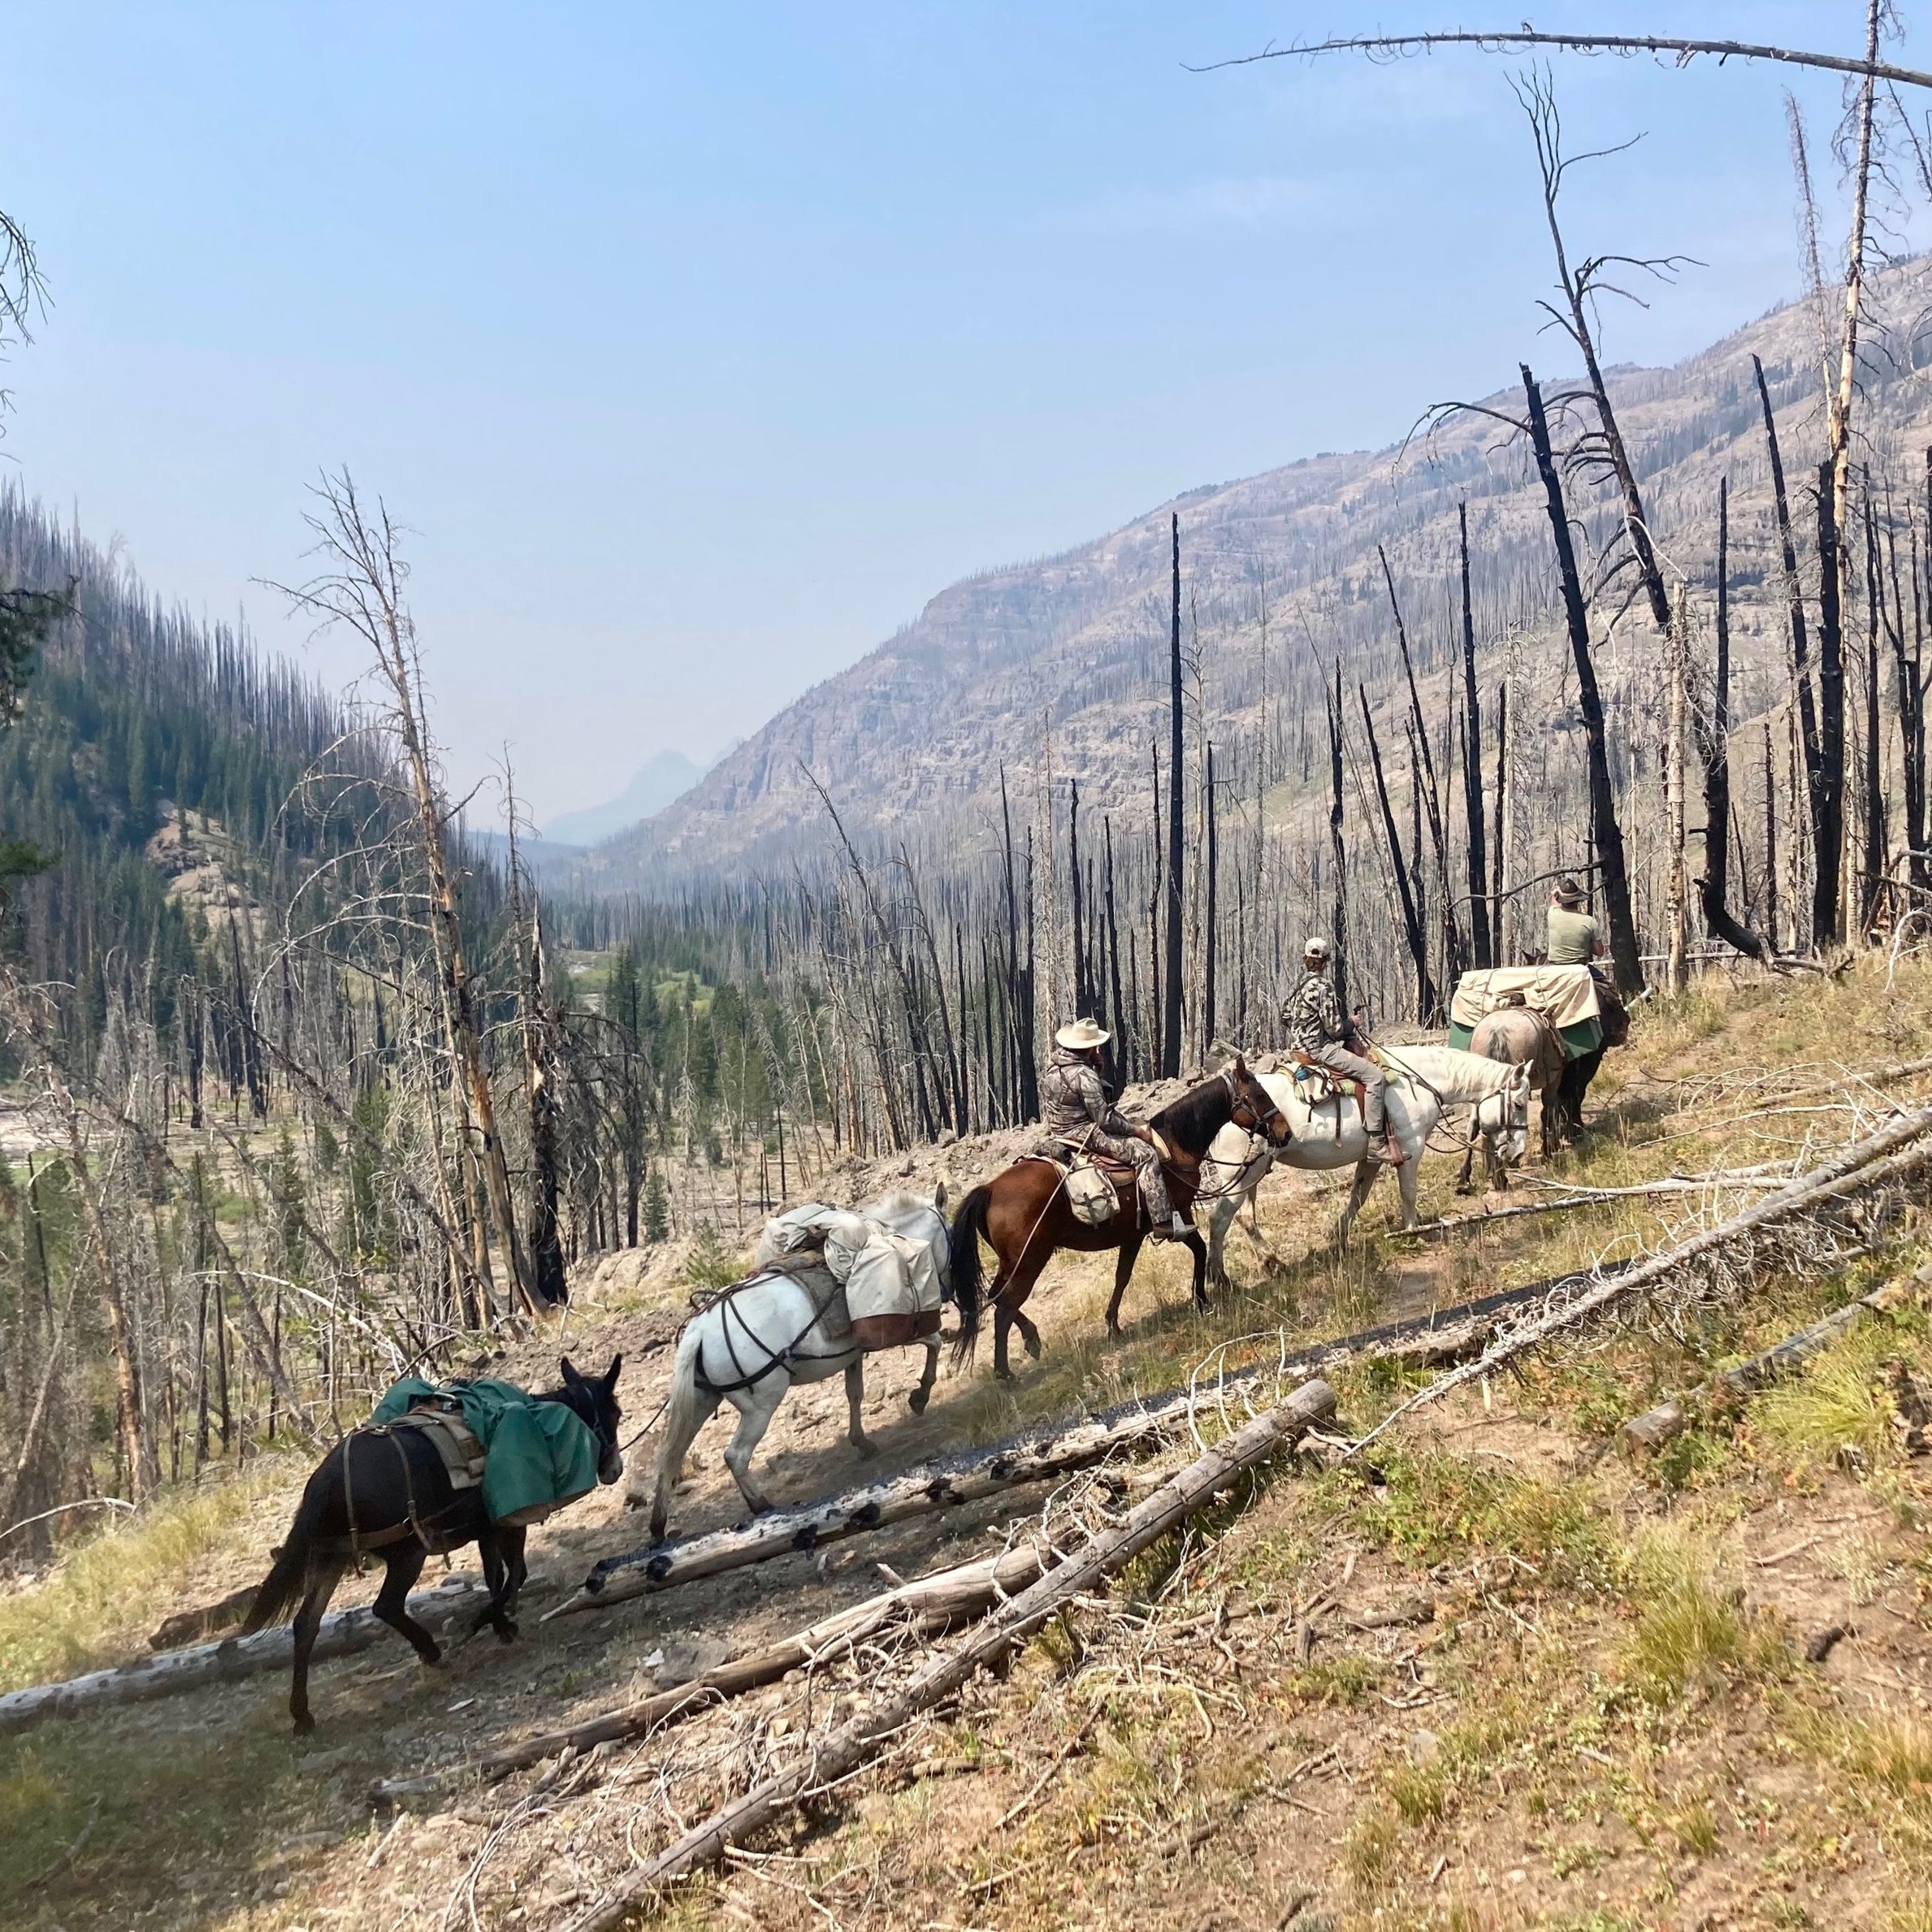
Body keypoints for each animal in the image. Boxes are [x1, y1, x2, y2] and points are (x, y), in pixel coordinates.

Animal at [641, 1189, 958, 1537]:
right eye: (950, 1234)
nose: (950, 1288)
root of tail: (698, 1330)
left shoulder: (853, 1354)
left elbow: (855, 1393)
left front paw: (861, 1441)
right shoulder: (894, 1332)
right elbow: (935, 1342)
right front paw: (920, 1397)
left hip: (700, 1401)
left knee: (669, 1456)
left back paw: (658, 1525)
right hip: (760, 1406)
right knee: (735, 1455)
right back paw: (761, 1505)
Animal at [947, 1059, 1290, 1375]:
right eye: (1259, 1094)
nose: (1285, 1133)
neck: (1174, 1145)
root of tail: (989, 1189)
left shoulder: (1133, 1235)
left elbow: (1122, 1276)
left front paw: (1113, 1325)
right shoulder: (1175, 1215)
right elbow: (1199, 1249)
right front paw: (1202, 1299)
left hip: (1011, 1263)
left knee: (994, 1298)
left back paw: (1031, 1339)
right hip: (1029, 1261)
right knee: (1004, 1307)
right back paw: (1005, 1373)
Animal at [1198, 1050, 1530, 1275]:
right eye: (1518, 1104)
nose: (1516, 1153)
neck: (1419, 1081)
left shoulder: (1372, 1157)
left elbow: (1358, 1195)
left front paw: (1338, 1237)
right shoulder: (1411, 1149)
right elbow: (1408, 1193)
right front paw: (1413, 1233)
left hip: (1252, 1174)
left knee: (1245, 1218)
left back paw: (1270, 1262)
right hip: (1243, 1175)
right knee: (1221, 1218)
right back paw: (1221, 1277)